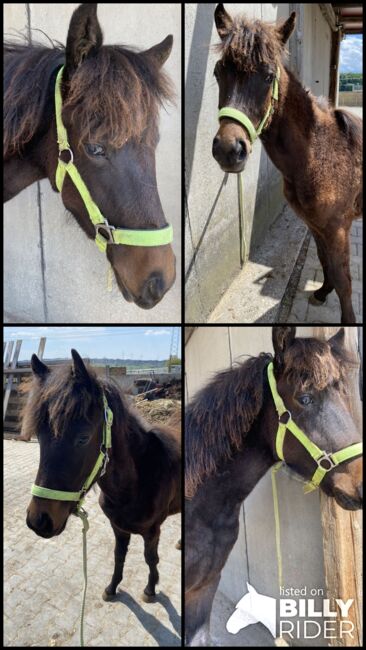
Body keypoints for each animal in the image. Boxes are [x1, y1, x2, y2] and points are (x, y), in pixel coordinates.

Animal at [23, 350, 181, 604]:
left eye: (83, 438)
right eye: (39, 435)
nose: (39, 520)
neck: (136, 483)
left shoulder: (152, 532)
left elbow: (150, 559)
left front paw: (150, 590)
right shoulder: (118, 528)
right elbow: (119, 556)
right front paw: (112, 587)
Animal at [213, 2, 362, 322]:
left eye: (269, 76)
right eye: (219, 72)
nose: (229, 150)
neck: (320, 153)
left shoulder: (338, 228)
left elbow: (344, 279)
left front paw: (347, 323)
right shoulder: (316, 226)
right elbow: (325, 262)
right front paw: (321, 292)